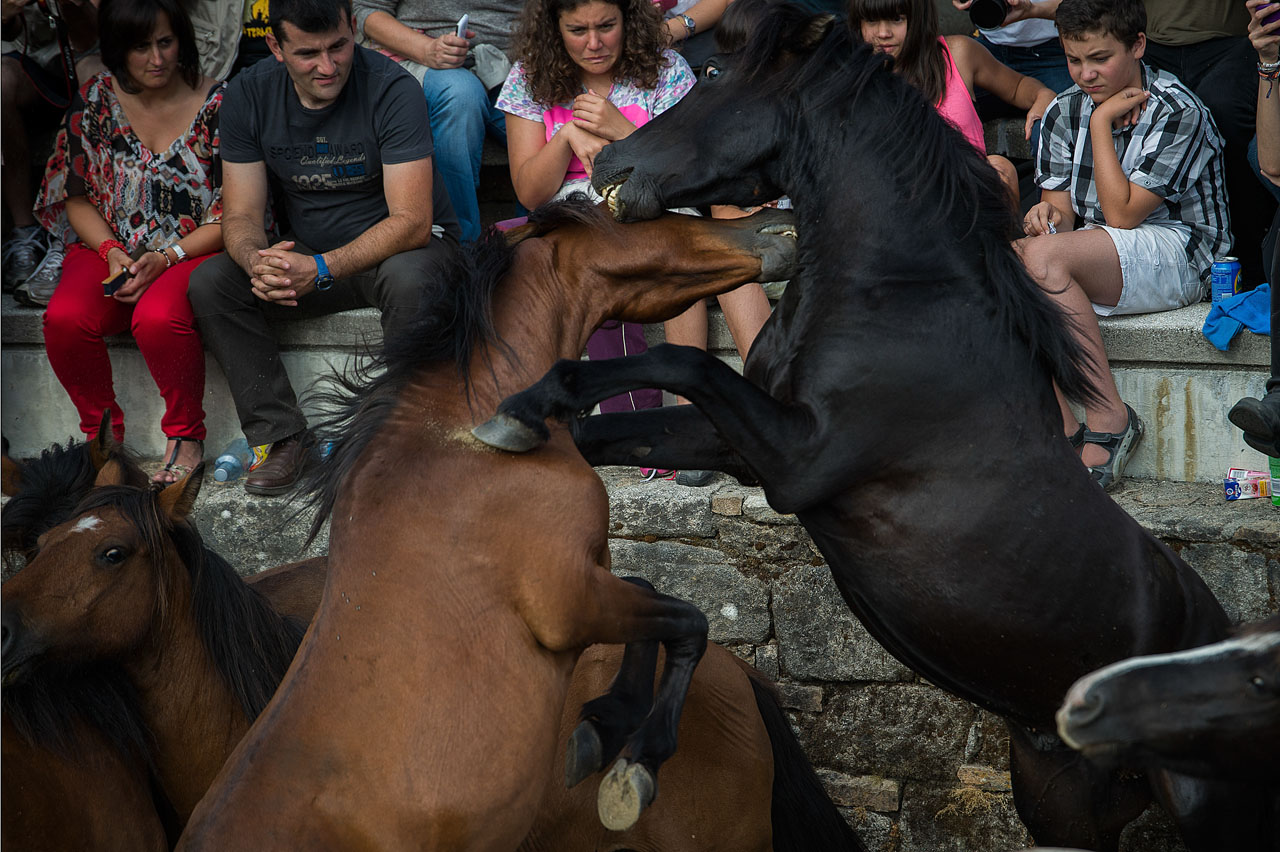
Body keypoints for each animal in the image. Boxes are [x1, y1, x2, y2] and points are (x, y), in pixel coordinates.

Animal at [176, 202, 814, 844]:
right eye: (643, 213)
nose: (777, 222)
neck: (460, 439)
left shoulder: (588, 587)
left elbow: (652, 592)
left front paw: (604, 727)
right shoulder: (567, 601)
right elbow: (688, 620)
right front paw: (633, 758)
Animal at [476, 8, 1274, 849]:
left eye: (715, 75)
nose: (608, 163)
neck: (895, 292)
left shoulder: (798, 458)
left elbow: (676, 358)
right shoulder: (740, 444)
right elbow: (612, 434)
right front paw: (512, 420)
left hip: (1212, 812)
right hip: (1062, 804)